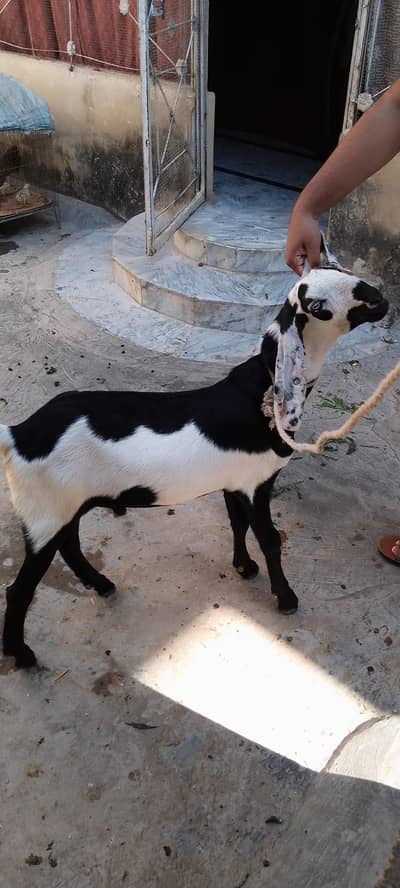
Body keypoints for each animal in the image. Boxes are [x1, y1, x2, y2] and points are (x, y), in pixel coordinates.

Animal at [0, 246, 388, 667]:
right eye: (317, 306)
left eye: (339, 270)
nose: (380, 300)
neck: (260, 391)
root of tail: (18, 434)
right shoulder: (256, 483)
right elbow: (269, 538)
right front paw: (285, 598)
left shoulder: (234, 480)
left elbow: (237, 524)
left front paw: (243, 567)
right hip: (45, 511)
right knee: (21, 587)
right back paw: (21, 654)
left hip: (65, 505)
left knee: (69, 545)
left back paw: (101, 585)